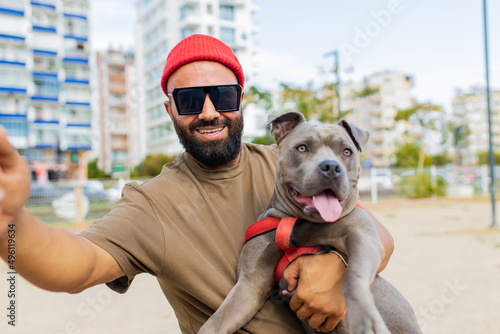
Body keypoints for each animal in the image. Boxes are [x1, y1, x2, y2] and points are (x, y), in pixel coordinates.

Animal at [199, 112, 422, 334]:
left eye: (347, 151)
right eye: (302, 148)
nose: (331, 167)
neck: (300, 223)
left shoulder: (364, 238)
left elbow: (354, 277)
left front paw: (365, 316)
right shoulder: (250, 282)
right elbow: (217, 320)